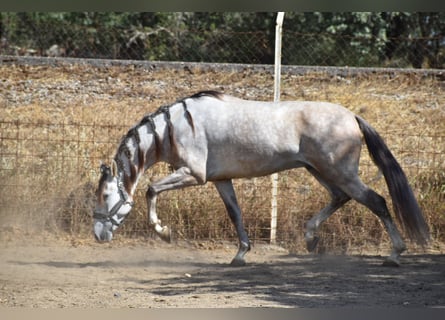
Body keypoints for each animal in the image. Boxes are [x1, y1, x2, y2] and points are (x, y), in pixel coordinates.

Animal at [93, 89, 426, 264]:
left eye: (106, 195)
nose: (98, 235)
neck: (176, 127)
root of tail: (352, 116)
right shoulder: (221, 180)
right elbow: (235, 213)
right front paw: (241, 254)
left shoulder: (193, 174)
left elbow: (151, 189)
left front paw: (164, 232)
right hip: (319, 170)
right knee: (341, 197)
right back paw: (311, 238)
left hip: (339, 171)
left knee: (377, 201)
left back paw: (395, 253)